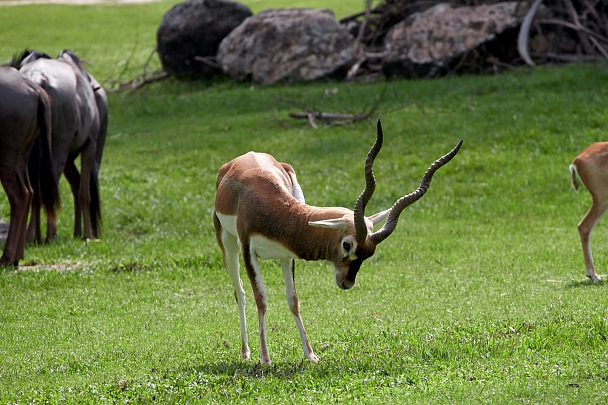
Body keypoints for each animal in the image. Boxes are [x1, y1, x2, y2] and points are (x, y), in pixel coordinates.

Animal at [214, 119, 460, 362]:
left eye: (369, 253)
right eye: (347, 244)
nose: (346, 282)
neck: (279, 211)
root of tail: (243, 158)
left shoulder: (286, 253)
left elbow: (293, 299)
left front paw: (311, 354)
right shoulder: (248, 251)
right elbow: (261, 299)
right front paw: (265, 358)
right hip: (227, 243)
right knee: (240, 292)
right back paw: (245, 352)